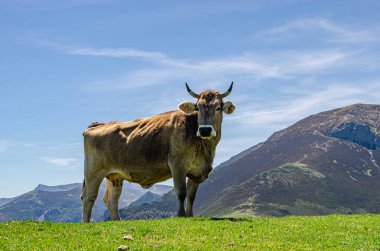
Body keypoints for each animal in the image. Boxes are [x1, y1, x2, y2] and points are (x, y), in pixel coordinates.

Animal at [81, 82, 235, 222]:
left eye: (218, 108)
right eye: (198, 107)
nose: (205, 130)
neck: (204, 148)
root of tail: (98, 125)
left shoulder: (196, 170)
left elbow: (191, 196)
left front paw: (190, 216)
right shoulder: (177, 165)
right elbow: (181, 192)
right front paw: (181, 215)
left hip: (115, 176)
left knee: (111, 199)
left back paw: (118, 222)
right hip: (93, 171)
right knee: (88, 197)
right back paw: (86, 223)